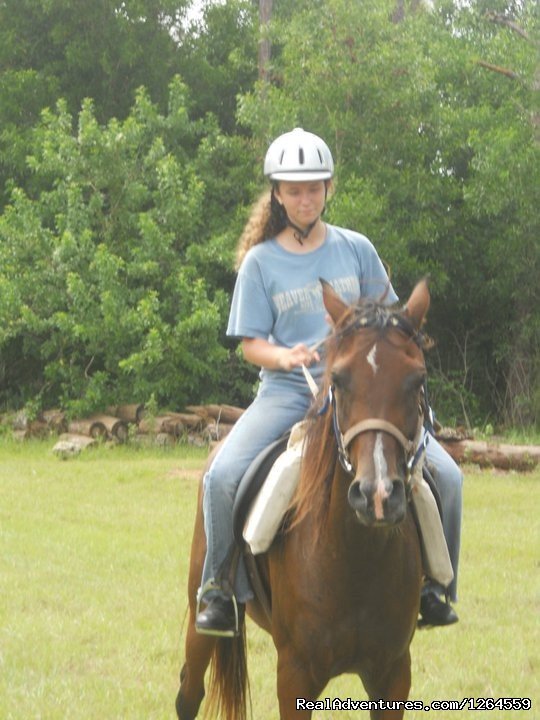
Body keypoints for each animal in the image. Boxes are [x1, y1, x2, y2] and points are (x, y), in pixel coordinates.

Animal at [176, 278, 430, 716]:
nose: (377, 495)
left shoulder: (394, 673)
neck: (354, 559)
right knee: (189, 692)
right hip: (200, 621)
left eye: (416, 379)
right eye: (339, 379)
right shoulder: (295, 675)